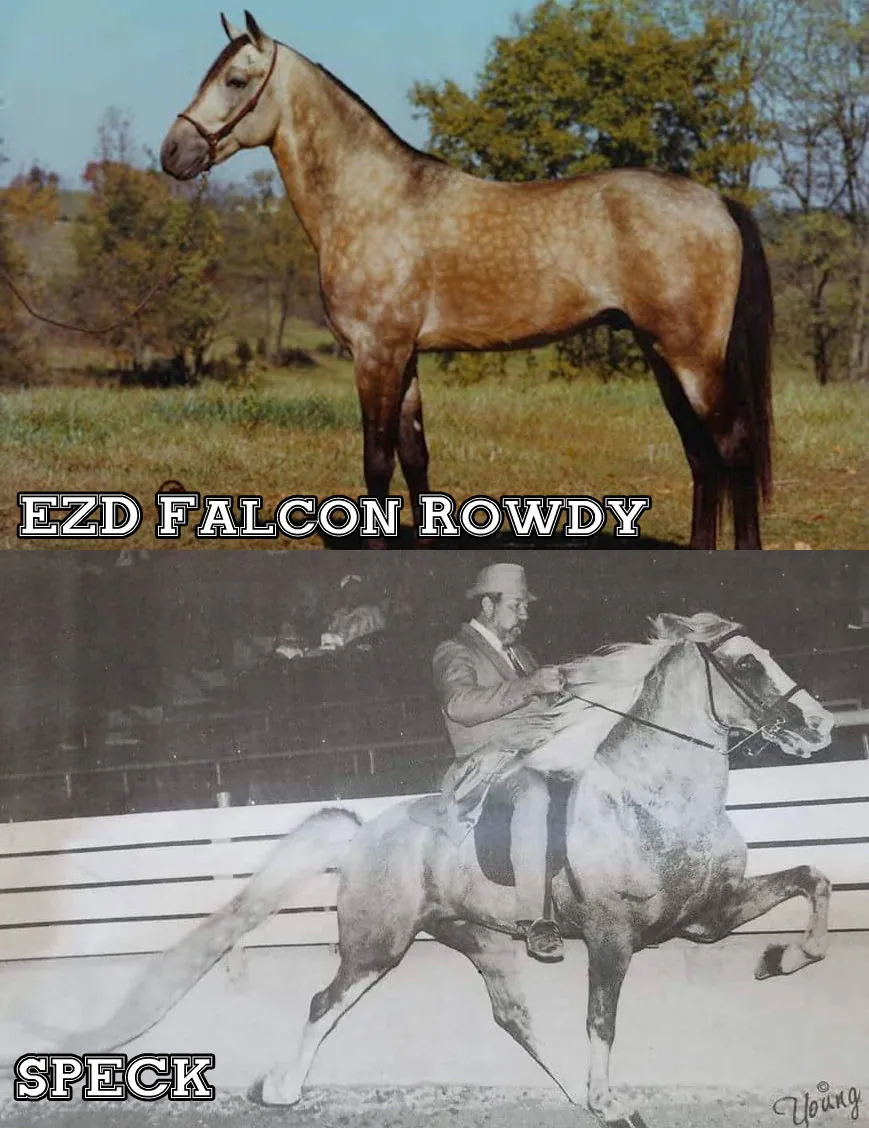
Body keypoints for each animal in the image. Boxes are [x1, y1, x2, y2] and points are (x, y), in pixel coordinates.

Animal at [34, 612, 833, 1127]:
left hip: (477, 938)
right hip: (377, 944)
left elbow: (813, 880)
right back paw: (283, 1090)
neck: (653, 796)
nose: (821, 725)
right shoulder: (612, 935)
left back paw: (570, 1096)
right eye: (746, 663)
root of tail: (364, 833)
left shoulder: (706, 916)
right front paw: (611, 1098)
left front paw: (781, 958)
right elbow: (601, 1017)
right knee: (324, 1003)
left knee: (511, 1016)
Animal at [160, 13, 774, 550]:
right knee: (702, 457)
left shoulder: (376, 353)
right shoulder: (404, 356)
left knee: (734, 450)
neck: (373, 200)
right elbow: (415, 459)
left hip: (694, 358)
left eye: (236, 80)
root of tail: (717, 202)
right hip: (662, 353)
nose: (172, 153)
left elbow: (377, 463)